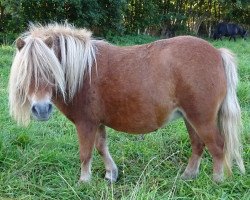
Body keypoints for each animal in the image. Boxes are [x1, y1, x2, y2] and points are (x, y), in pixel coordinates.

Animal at [8, 23, 245, 183]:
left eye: (51, 69)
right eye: (26, 73)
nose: (41, 109)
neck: (82, 71)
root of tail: (217, 53)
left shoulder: (85, 123)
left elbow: (86, 153)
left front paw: (84, 181)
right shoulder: (97, 122)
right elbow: (101, 147)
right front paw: (111, 174)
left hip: (201, 118)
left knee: (217, 146)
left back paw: (217, 180)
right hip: (190, 118)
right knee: (198, 145)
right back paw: (188, 175)